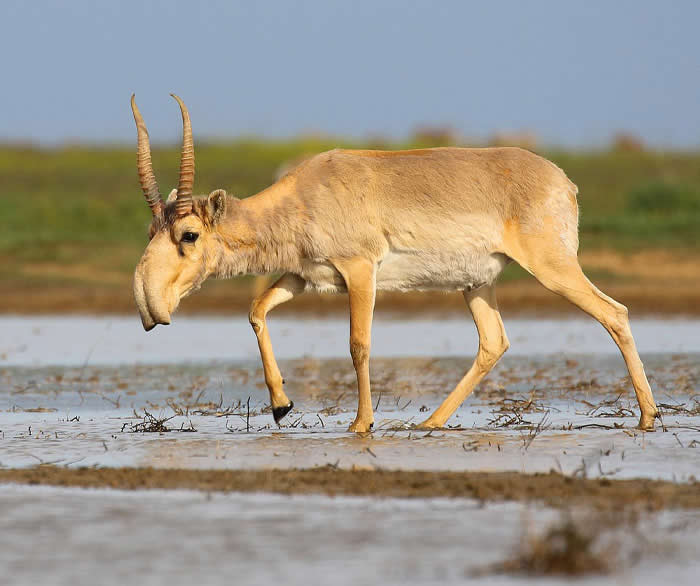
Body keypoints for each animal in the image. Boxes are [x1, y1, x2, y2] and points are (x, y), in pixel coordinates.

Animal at [131, 95, 660, 433]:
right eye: (151, 230)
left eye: (188, 234)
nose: (148, 306)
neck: (304, 194)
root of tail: (563, 181)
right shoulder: (304, 277)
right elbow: (256, 310)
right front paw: (282, 406)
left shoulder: (360, 272)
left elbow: (358, 344)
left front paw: (361, 424)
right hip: (477, 285)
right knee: (494, 342)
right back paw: (430, 422)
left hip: (553, 269)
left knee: (614, 312)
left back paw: (648, 417)